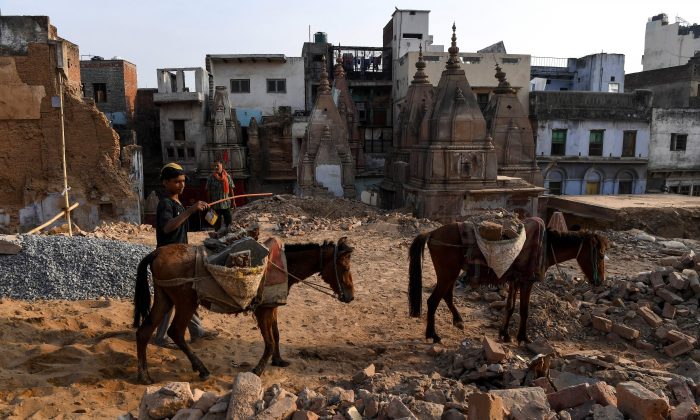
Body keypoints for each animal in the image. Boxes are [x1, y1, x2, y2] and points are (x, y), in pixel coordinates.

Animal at [133, 236, 356, 384]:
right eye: (345, 267)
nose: (350, 297)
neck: (284, 265)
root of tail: (157, 252)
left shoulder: (271, 306)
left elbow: (276, 334)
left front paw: (279, 360)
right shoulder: (262, 310)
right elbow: (269, 341)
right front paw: (258, 370)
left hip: (164, 299)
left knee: (144, 332)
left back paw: (145, 376)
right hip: (186, 302)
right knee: (176, 332)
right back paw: (202, 370)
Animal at [408, 217, 608, 344]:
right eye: (600, 255)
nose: (600, 282)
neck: (545, 246)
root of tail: (432, 233)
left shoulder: (515, 280)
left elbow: (510, 307)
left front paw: (504, 334)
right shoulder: (527, 281)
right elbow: (524, 310)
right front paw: (523, 338)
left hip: (450, 274)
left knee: (447, 296)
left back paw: (457, 321)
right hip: (447, 274)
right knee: (433, 301)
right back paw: (433, 335)